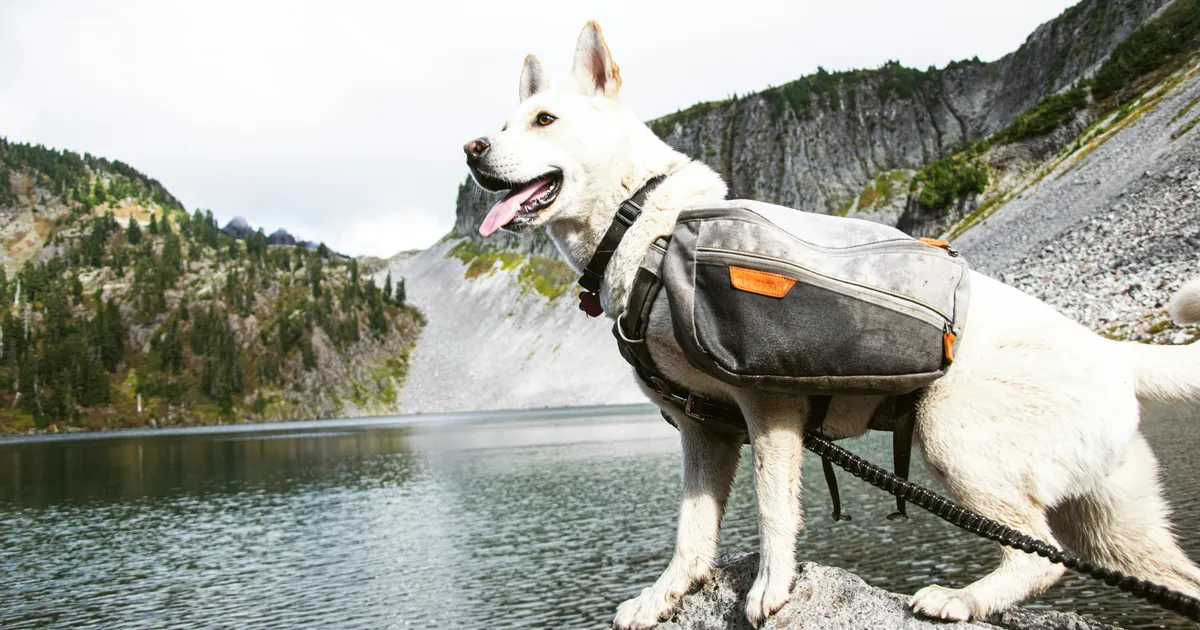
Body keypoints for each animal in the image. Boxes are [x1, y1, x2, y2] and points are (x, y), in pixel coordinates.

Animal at [463, 21, 1200, 628]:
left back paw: (960, 600)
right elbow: (691, 534)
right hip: (1114, 526)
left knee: (1038, 555)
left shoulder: (770, 411)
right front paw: (662, 598)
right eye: (503, 124)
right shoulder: (704, 432)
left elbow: (773, 510)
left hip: (953, 440)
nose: (471, 148)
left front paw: (770, 590)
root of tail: (1112, 351)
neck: (645, 226)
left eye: (545, 119)